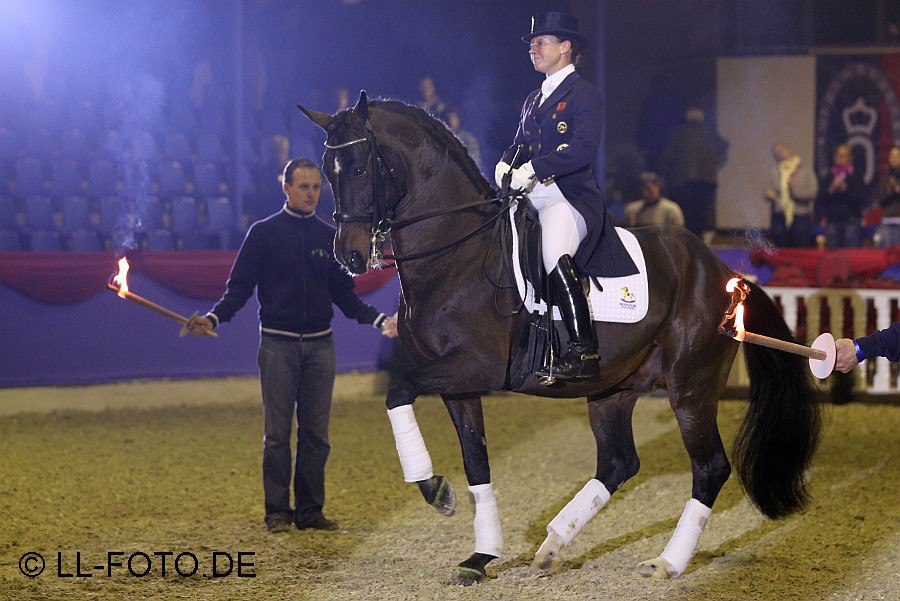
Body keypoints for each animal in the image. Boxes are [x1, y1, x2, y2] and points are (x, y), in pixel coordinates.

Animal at [298, 91, 822, 585]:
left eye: (361, 167)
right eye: (327, 172)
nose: (348, 256)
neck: (456, 253)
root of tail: (725, 271)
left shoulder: (475, 366)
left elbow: (398, 390)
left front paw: (435, 491)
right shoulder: (459, 383)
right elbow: (476, 461)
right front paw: (479, 554)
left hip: (690, 388)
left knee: (709, 468)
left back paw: (666, 563)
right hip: (612, 389)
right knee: (618, 463)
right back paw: (552, 545)